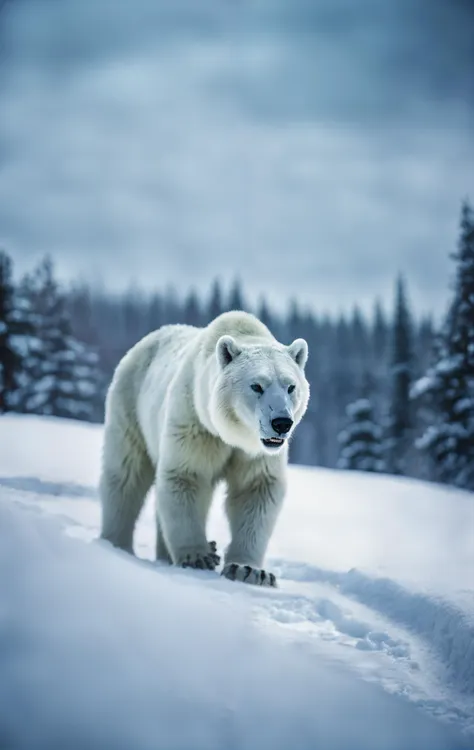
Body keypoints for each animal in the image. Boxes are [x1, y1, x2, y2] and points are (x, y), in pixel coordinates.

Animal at [98, 312, 310, 588]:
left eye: (290, 386)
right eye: (257, 386)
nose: (282, 423)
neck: (231, 433)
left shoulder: (256, 452)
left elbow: (256, 488)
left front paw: (250, 571)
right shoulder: (195, 424)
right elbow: (186, 476)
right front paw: (198, 556)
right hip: (130, 404)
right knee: (125, 475)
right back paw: (117, 544)